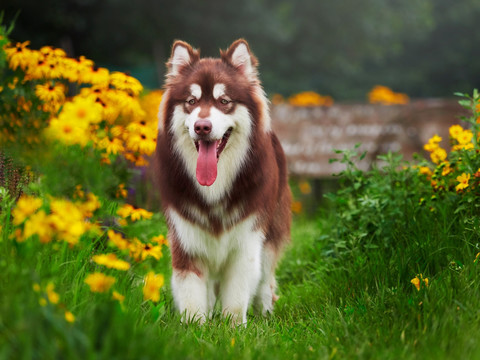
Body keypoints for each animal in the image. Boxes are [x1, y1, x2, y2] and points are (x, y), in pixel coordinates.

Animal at [154, 39, 290, 326]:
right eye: (191, 101)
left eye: (224, 101)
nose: (202, 127)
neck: (214, 187)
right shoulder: (186, 237)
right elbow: (191, 291)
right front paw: (195, 326)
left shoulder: (247, 239)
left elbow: (237, 293)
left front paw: (233, 327)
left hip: (271, 231)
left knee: (265, 280)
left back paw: (265, 311)